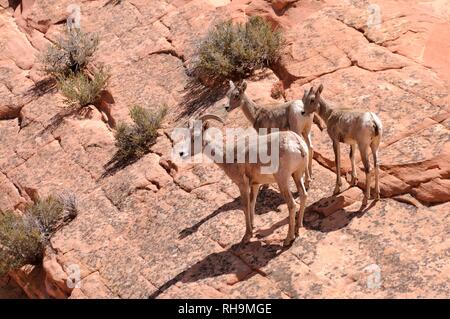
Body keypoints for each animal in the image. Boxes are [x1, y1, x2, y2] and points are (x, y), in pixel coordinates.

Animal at [175, 114, 310, 246]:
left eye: (195, 137)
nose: (181, 153)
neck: (227, 155)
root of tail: (298, 144)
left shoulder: (242, 184)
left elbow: (245, 206)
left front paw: (247, 236)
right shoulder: (255, 184)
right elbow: (252, 203)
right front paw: (253, 227)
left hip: (282, 180)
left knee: (292, 204)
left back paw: (288, 239)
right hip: (297, 175)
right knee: (304, 195)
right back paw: (299, 227)